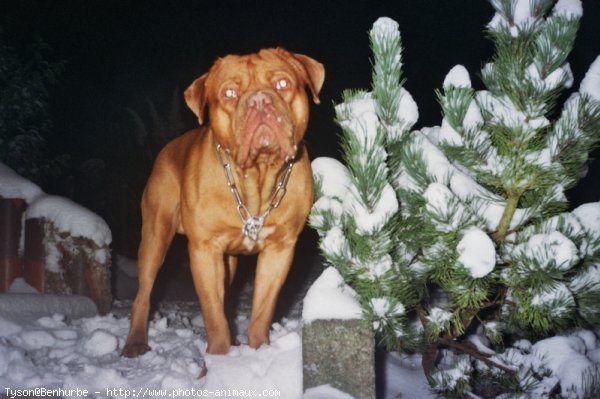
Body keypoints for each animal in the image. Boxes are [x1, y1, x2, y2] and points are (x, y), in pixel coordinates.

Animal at [122, 48, 326, 358]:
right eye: (230, 93)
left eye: (282, 84)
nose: (260, 101)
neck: (256, 180)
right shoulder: (205, 251)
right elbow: (214, 315)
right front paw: (218, 359)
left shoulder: (279, 251)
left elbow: (262, 311)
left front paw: (258, 351)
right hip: (155, 237)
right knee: (144, 292)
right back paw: (135, 342)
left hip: (228, 261)